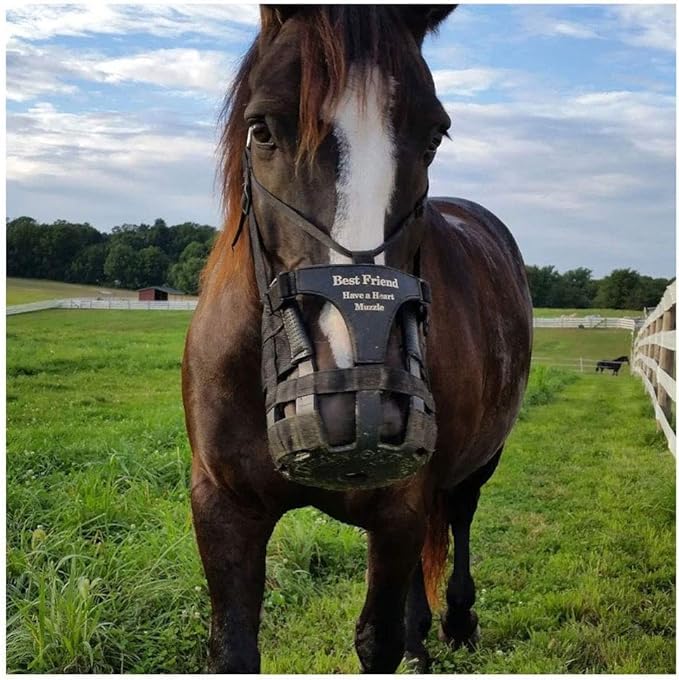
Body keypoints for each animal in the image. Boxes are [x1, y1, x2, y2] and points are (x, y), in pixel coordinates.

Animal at [182, 6, 533, 673]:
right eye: (262, 129)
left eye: (434, 136)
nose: (356, 398)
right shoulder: (222, 508)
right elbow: (234, 647)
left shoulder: (398, 509)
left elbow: (379, 639)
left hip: (480, 462)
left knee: (460, 519)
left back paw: (457, 620)